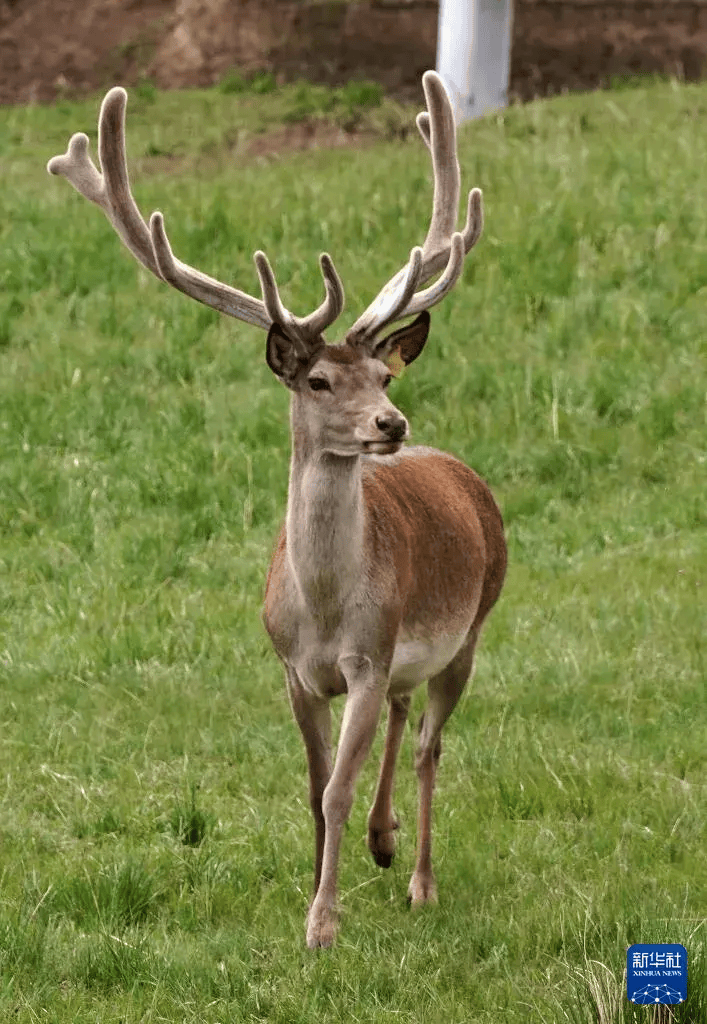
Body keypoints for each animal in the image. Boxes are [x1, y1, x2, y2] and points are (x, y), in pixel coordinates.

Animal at [48, 72, 506, 946]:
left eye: (383, 377)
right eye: (318, 381)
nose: (390, 424)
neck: (324, 609)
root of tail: (464, 477)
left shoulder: (366, 658)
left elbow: (336, 787)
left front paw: (321, 924)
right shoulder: (293, 669)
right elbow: (313, 788)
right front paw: (317, 886)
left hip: (470, 627)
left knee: (428, 744)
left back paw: (419, 879)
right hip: (409, 653)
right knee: (404, 718)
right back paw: (382, 841)